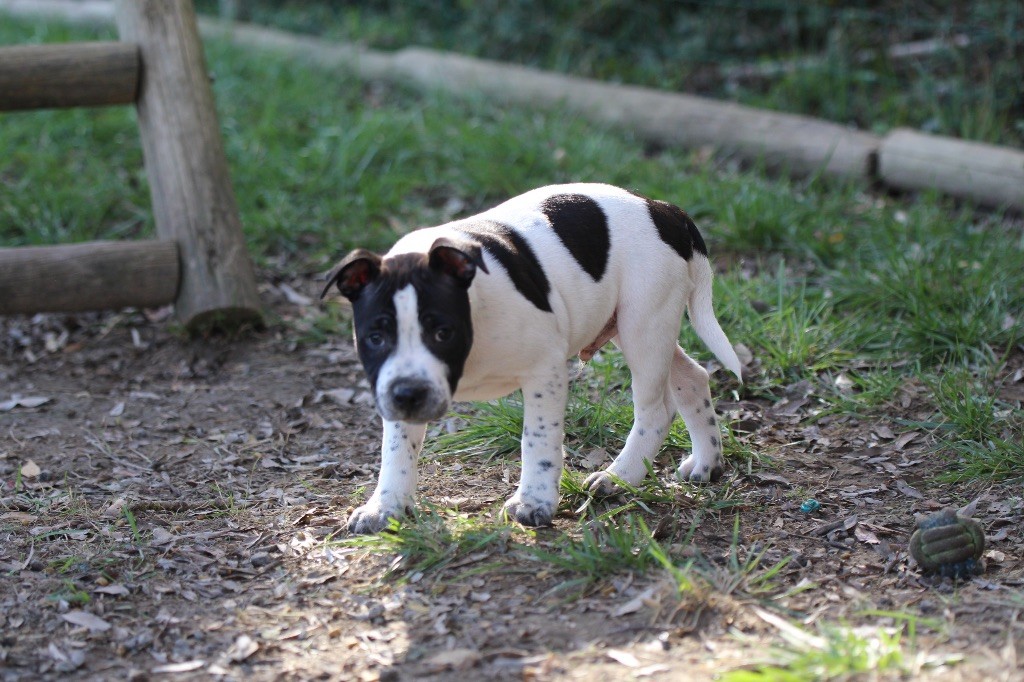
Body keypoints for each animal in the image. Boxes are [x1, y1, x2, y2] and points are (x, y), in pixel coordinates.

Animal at [323, 182, 741, 532]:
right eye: (375, 337)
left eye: (443, 332)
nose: (409, 395)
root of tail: (663, 209)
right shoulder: (395, 382)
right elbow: (397, 449)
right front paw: (386, 507)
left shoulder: (545, 372)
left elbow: (537, 439)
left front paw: (534, 502)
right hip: (640, 328)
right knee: (692, 377)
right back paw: (707, 462)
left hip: (645, 326)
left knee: (656, 410)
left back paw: (619, 477)